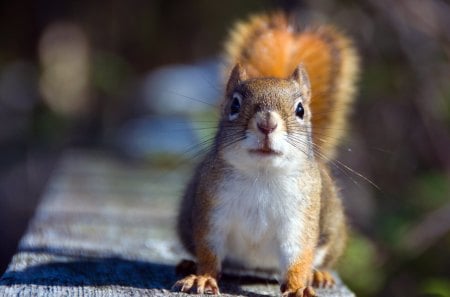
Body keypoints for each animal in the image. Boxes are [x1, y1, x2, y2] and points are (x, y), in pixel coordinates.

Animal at [172, 11, 358, 296]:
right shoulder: (212, 210)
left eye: (301, 109)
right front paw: (202, 277)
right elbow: (208, 251)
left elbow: (298, 257)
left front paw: (298, 287)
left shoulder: (299, 220)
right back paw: (188, 264)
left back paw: (319, 275)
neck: (263, 174)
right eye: (234, 105)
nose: (267, 124)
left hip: (332, 231)